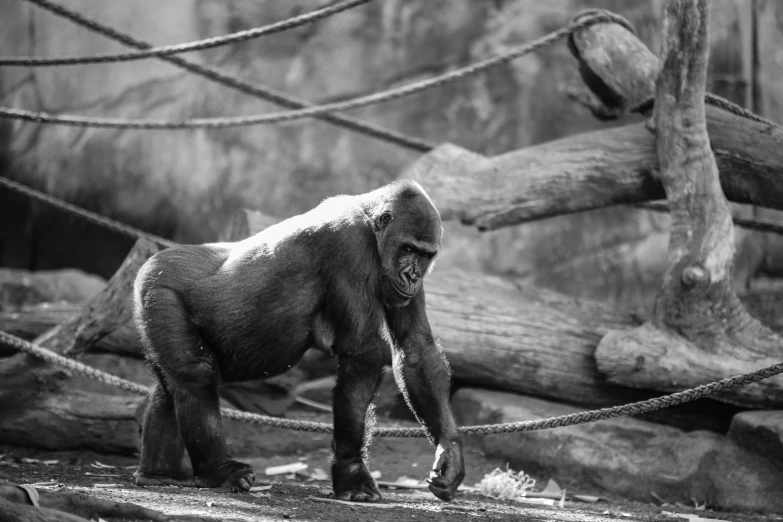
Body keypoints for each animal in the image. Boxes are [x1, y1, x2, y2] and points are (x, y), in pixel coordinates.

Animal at [135, 179, 466, 500]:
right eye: (407, 249)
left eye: (425, 255)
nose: (412, 276)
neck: (370, 221)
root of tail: (154, 258)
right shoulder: (348, 244)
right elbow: (362, 355)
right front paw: (351, 471)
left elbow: (416, 349)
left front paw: (449, 452)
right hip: (158, 287)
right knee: (196, 374)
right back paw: (218, 471)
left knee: (172, 386)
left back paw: (159, 473)